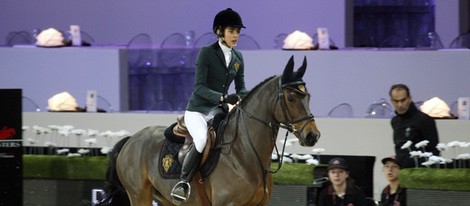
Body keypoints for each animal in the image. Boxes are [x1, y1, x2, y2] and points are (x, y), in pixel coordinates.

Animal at [98, 55, 322, 205]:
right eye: (291, 98)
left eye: (309, 96)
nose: (312, 136)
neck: (245, 153)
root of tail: (131, 140)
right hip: (139, 195)